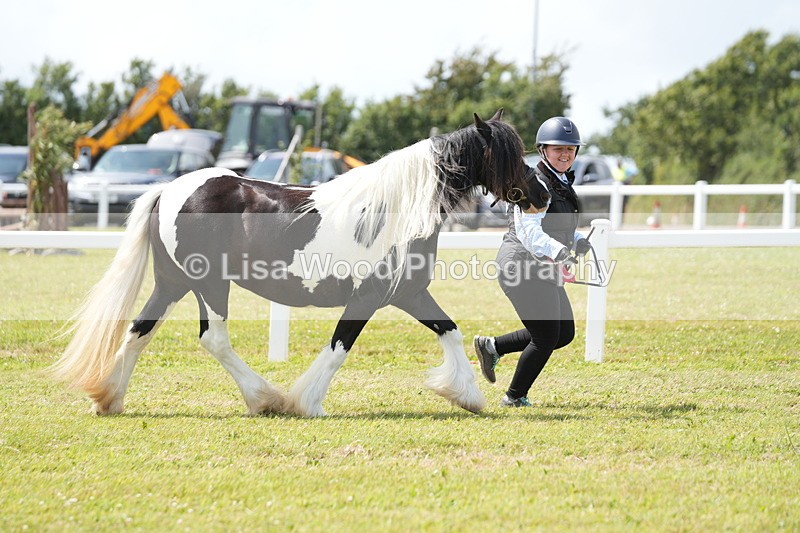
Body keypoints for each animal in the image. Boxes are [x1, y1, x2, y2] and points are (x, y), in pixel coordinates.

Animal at [51, 109, 551, 417]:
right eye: (507, 154)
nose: (543, 193)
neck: (396, 209)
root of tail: (170, 189)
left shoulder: (408, 293)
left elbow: (450, 330)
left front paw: (465, 394)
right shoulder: (368, 297)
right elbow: (339, 347)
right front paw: (307, 402)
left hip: (172, 283)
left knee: (140, 329)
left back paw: (110, 398)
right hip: (208, 284)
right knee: (213, 338)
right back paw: (265, 398)